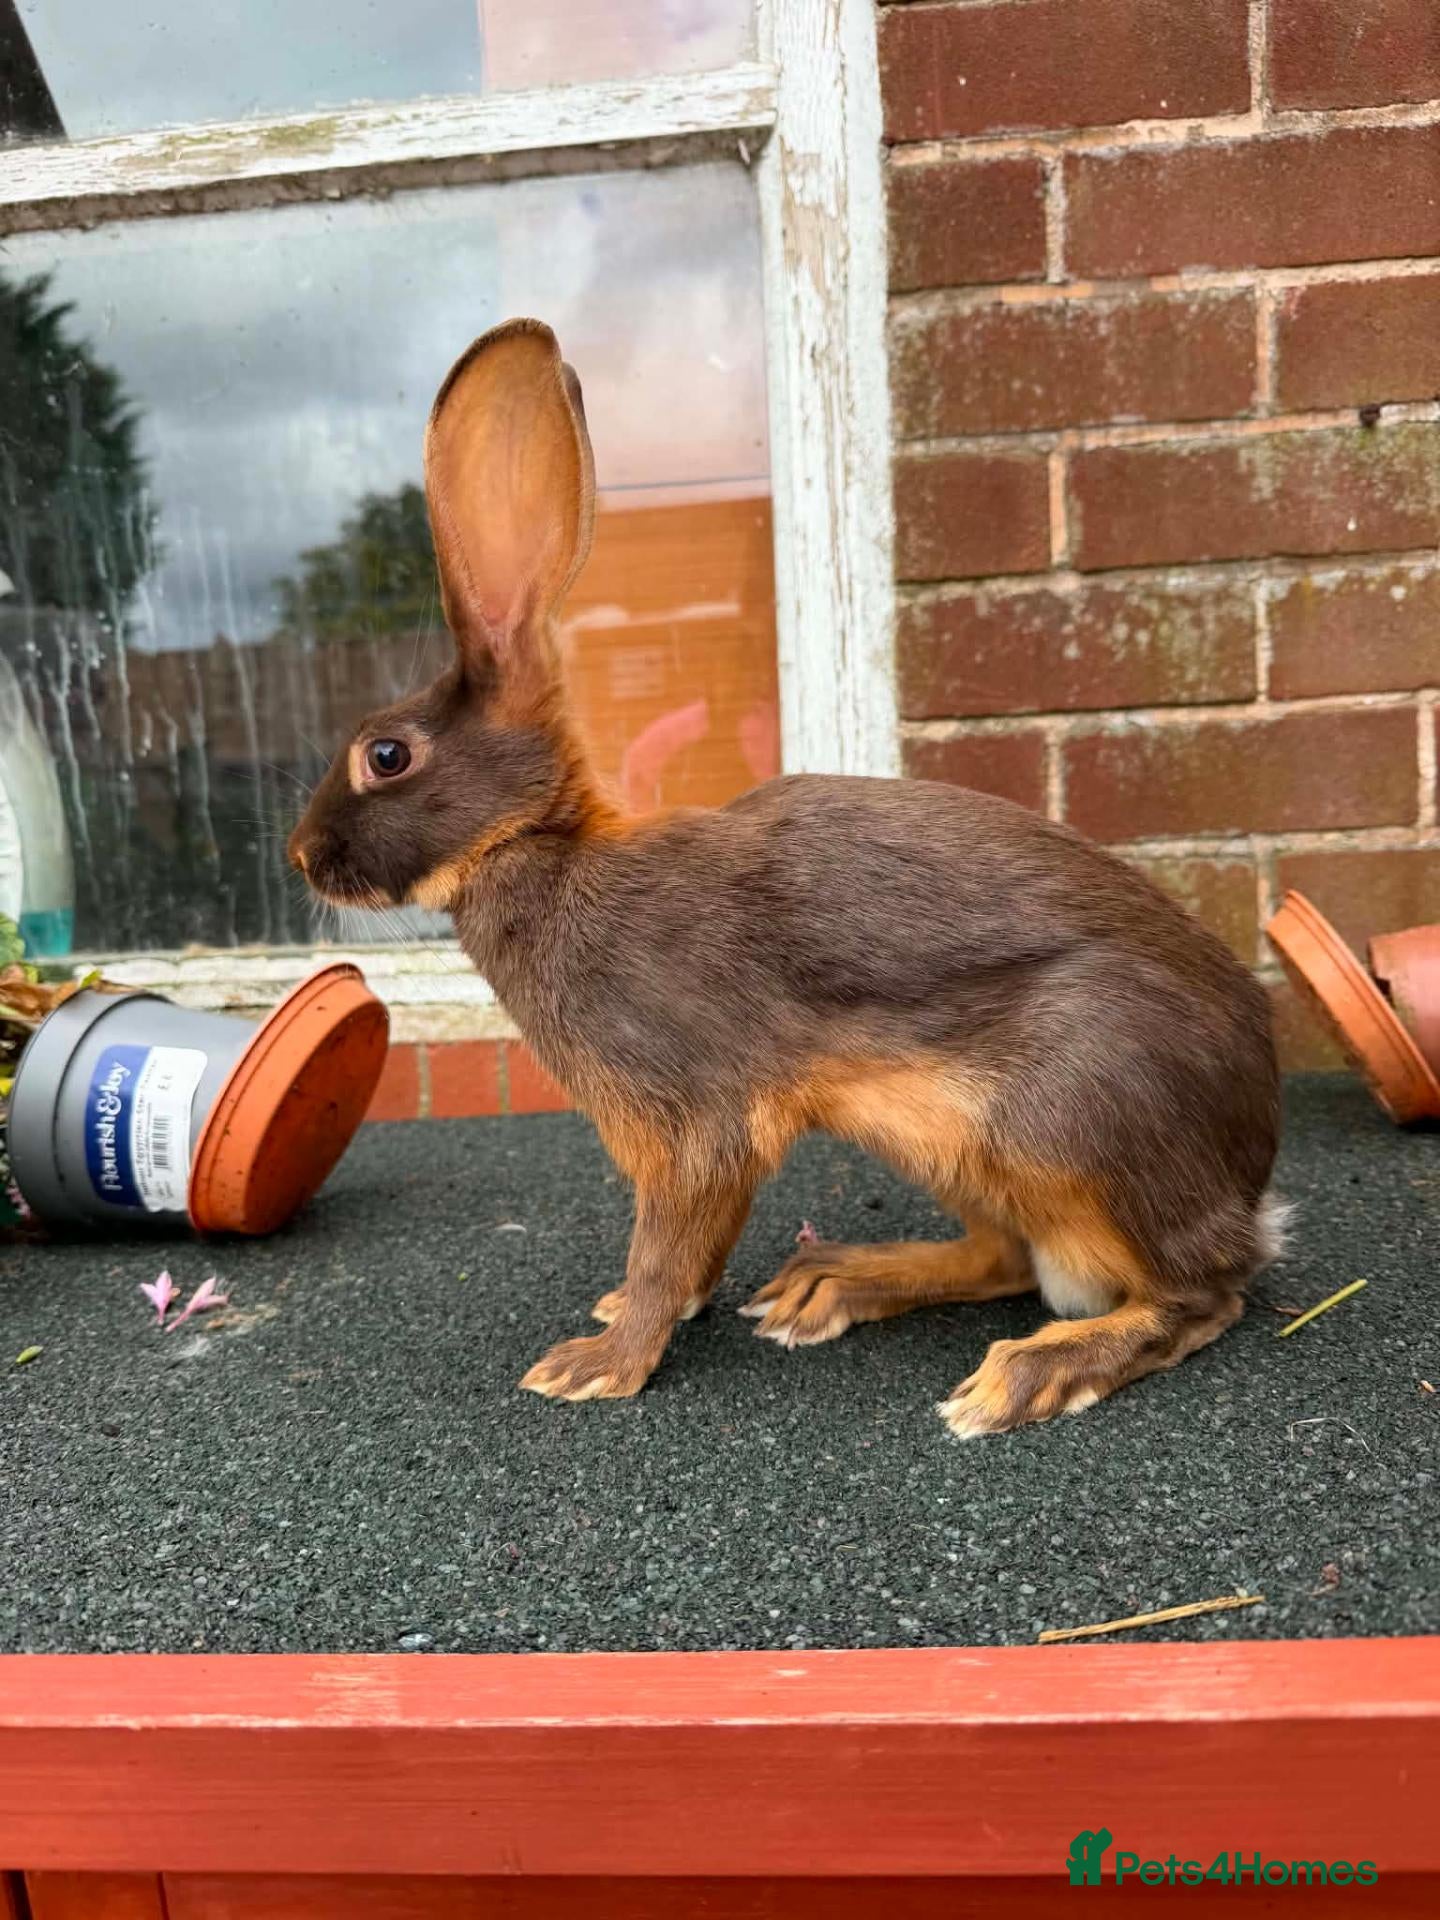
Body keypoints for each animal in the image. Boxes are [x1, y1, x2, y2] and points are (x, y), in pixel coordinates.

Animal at [290, 318, 1283, 1437]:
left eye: (386, 756)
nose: (302, 855)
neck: (540, 847)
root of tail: (1251, 1182)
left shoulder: (693, 1124)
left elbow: (671, 1241)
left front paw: (600, 1361)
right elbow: (690, 1253)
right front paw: (636, 1316)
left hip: (1066, 1121)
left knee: (1196, 1297)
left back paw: (1030, 1372)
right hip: (949, 1145)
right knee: (1006, 1257)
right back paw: (836, 1281)